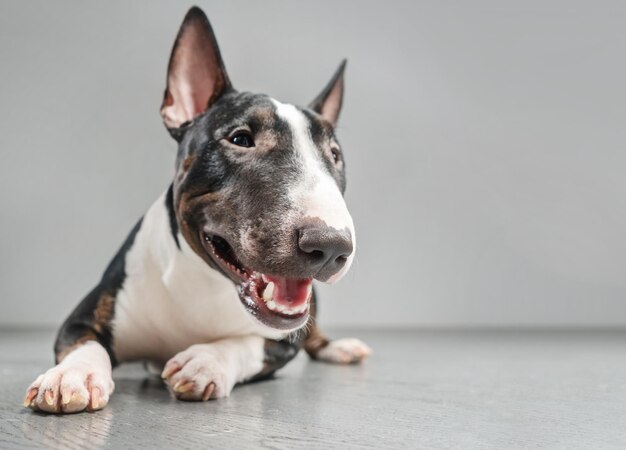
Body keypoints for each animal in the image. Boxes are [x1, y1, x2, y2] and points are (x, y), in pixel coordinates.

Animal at [22, 7, 368, 414]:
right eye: (240, 138)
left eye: (335, 154)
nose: (331, 246)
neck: (205, 280)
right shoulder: (81, 320)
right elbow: (85, 344)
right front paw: (73, 375)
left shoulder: (283, 340)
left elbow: (250, 343)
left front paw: (206, 361)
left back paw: (338, 347)